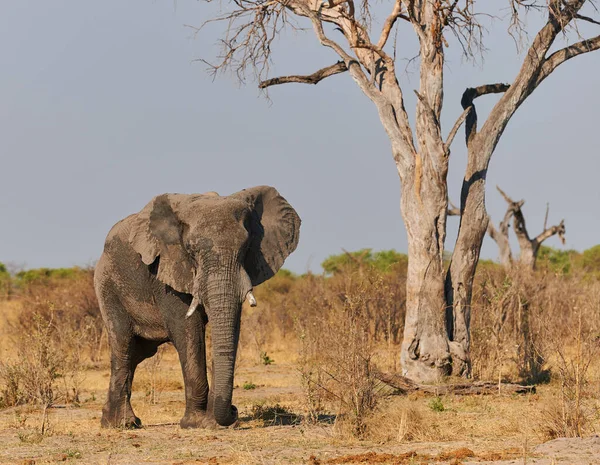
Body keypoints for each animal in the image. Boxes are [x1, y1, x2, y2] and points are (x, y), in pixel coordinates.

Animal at [95, 185, 300, 428]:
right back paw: (122, 424)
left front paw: (213, 422)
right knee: (124, 346)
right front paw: (196, 423)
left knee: (138, 352)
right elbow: (187, 329)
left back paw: (113, 420)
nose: (234, 411)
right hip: (107, 286)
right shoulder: (167, 270)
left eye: (246, 246)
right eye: (191, 250)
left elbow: (232, 326)